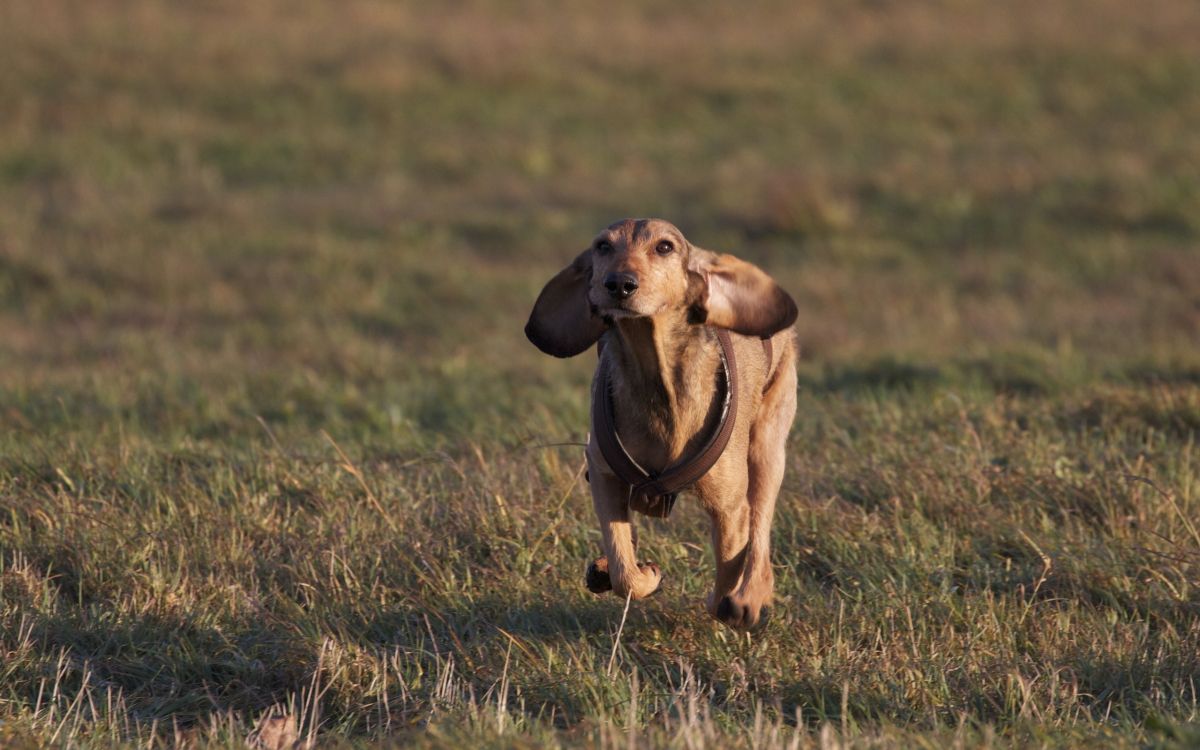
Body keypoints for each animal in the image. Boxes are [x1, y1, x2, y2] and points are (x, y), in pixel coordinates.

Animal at [525, 219, 796, 628]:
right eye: (603, 246)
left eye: (665, 247)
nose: (619, 283)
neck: (656, 374)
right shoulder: (603, 475)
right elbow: (624, 567)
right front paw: (639, 573)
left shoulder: (729, 509)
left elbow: (727, 571)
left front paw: (726, 601)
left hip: (767, 448)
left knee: (761, 532)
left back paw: (750, 598)